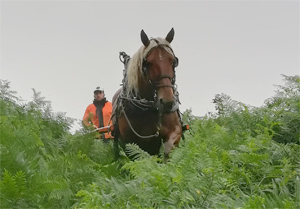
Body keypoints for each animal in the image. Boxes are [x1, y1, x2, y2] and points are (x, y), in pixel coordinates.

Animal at [112, 27, 183, 159]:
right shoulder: (130, 142)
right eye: (148, 63)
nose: (167, 101)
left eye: (173, 61)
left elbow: (167, 152)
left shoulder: (175, 131)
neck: (149, 109)